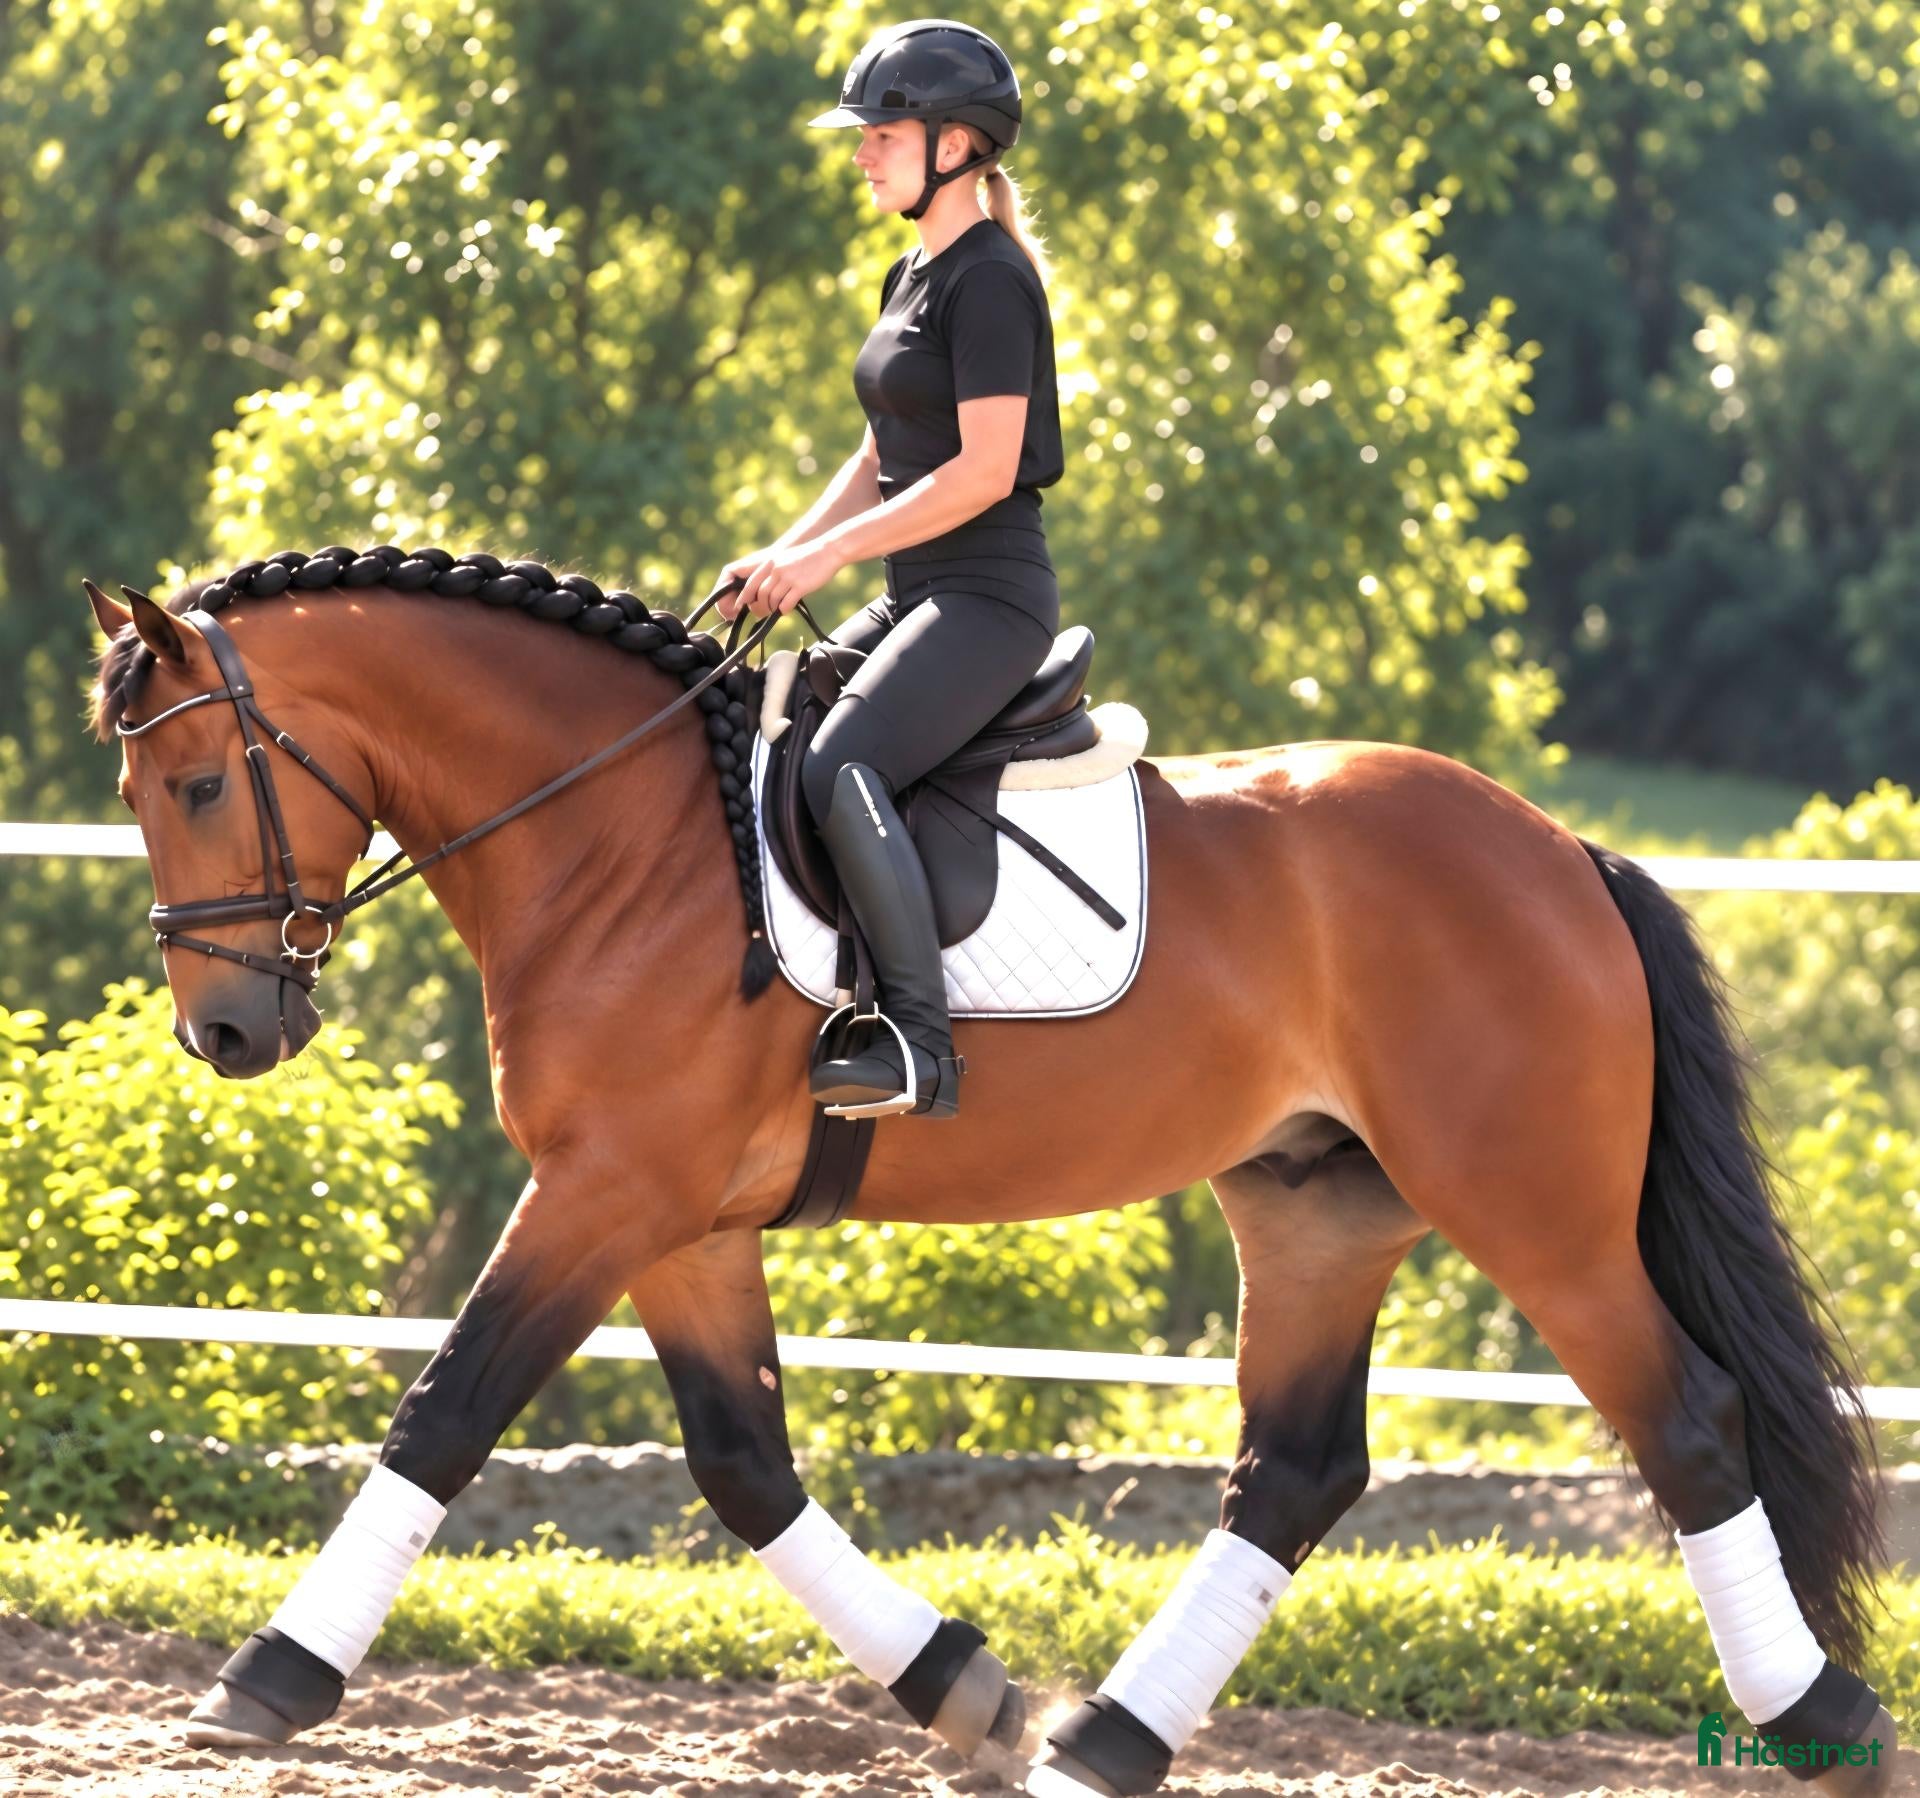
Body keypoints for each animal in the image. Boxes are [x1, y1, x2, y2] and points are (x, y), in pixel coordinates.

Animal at [82, 545, 1897, 1795]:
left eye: (197, 781)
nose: (225, 1031)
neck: (618, 840)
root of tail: (1561, 850)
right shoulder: (674, 1221)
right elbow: (743, 1464)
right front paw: (959, 1680)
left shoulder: (605, 1195)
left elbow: (447, 1410)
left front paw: (267, 1672)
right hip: (1317, 1202)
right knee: (1297, 1468)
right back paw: (1106, 1738)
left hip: (1536, 1210)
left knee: (1686, 1419)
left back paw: (1821, 1714)